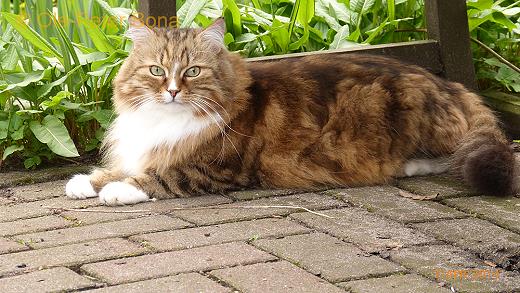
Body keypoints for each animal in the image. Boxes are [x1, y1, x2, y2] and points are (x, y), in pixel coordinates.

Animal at [65, 16, 516, 205]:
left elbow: (158, 176)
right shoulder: (145, 147)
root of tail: (450, 83)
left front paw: (118, 190)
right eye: (157, 71)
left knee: (453, 156)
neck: (167, 120)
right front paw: (87, 182)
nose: (173, 91)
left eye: (192, 71)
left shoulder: (218, 167)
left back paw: (407, 167)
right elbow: (122, 166)